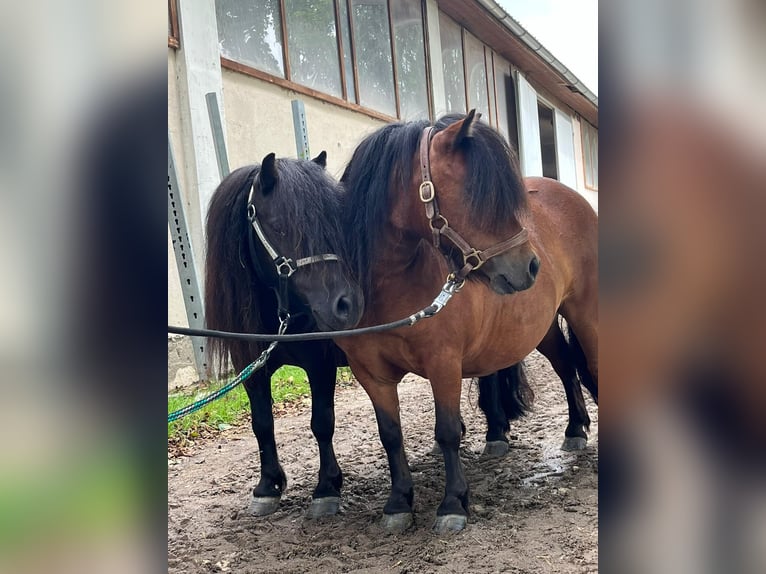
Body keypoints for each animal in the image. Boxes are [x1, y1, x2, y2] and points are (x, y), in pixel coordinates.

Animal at [206, 152, 364, 516]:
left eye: (334, 221)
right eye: (280, 225)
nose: (346, 304)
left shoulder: (321, 366)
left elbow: (322, 421)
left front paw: (327, 487)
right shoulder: (251, 370)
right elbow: (262, 423)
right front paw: (268, 486)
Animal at [340, 112, 600, 536]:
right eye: (477, 196)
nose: (530, 266)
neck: (393, 285)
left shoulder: (444, 362)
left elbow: (447, 432)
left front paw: (452, 503)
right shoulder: (371, 374)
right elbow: (390, 436)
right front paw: (398, 503)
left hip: (586, 312)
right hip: (541, 326)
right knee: (565, 367)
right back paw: (575, 429)